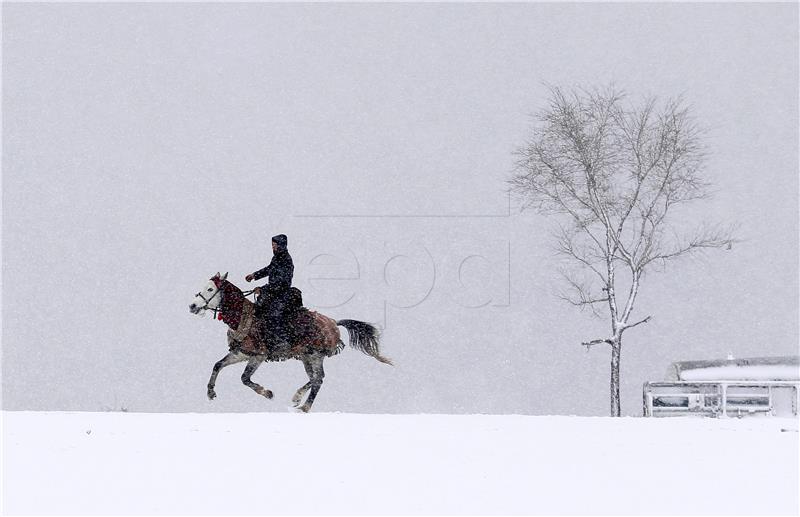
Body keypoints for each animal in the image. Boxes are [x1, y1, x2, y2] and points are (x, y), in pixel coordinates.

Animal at [189, 270, 392, 412]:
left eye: (210, 289)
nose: (192, 306)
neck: (243, 318)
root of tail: (334, 322)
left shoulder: (258, 355)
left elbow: (245, 378)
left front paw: (267, 393)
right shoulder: (241, 353)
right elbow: (217, 365)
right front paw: (210, 392)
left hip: (315, 355)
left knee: (318, 380)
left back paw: (304, 407)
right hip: (306, 357)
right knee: (315, 377)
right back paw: (297, 397)